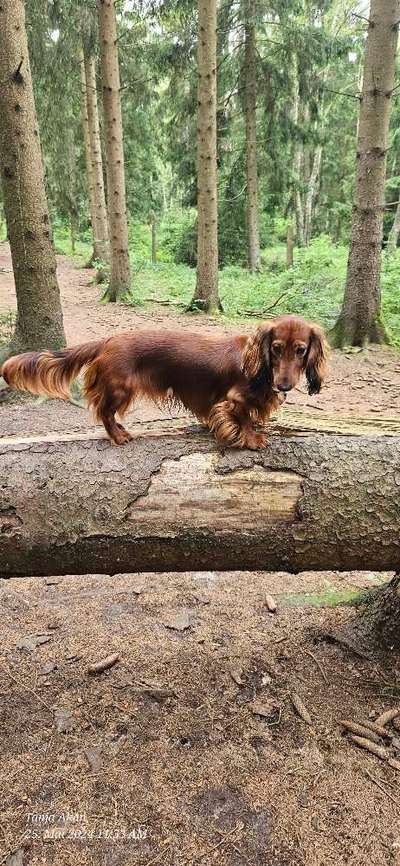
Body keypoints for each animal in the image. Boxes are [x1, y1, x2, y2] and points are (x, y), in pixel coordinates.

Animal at [3, 318, 326, 448]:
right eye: (276, 348)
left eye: (301, 350)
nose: (283, 386)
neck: (260, 367)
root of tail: (108, 340)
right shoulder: (234, 398)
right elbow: (243, 416)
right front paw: (250, 438)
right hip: (120, 388)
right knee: (104, 412)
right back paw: (118, 436)